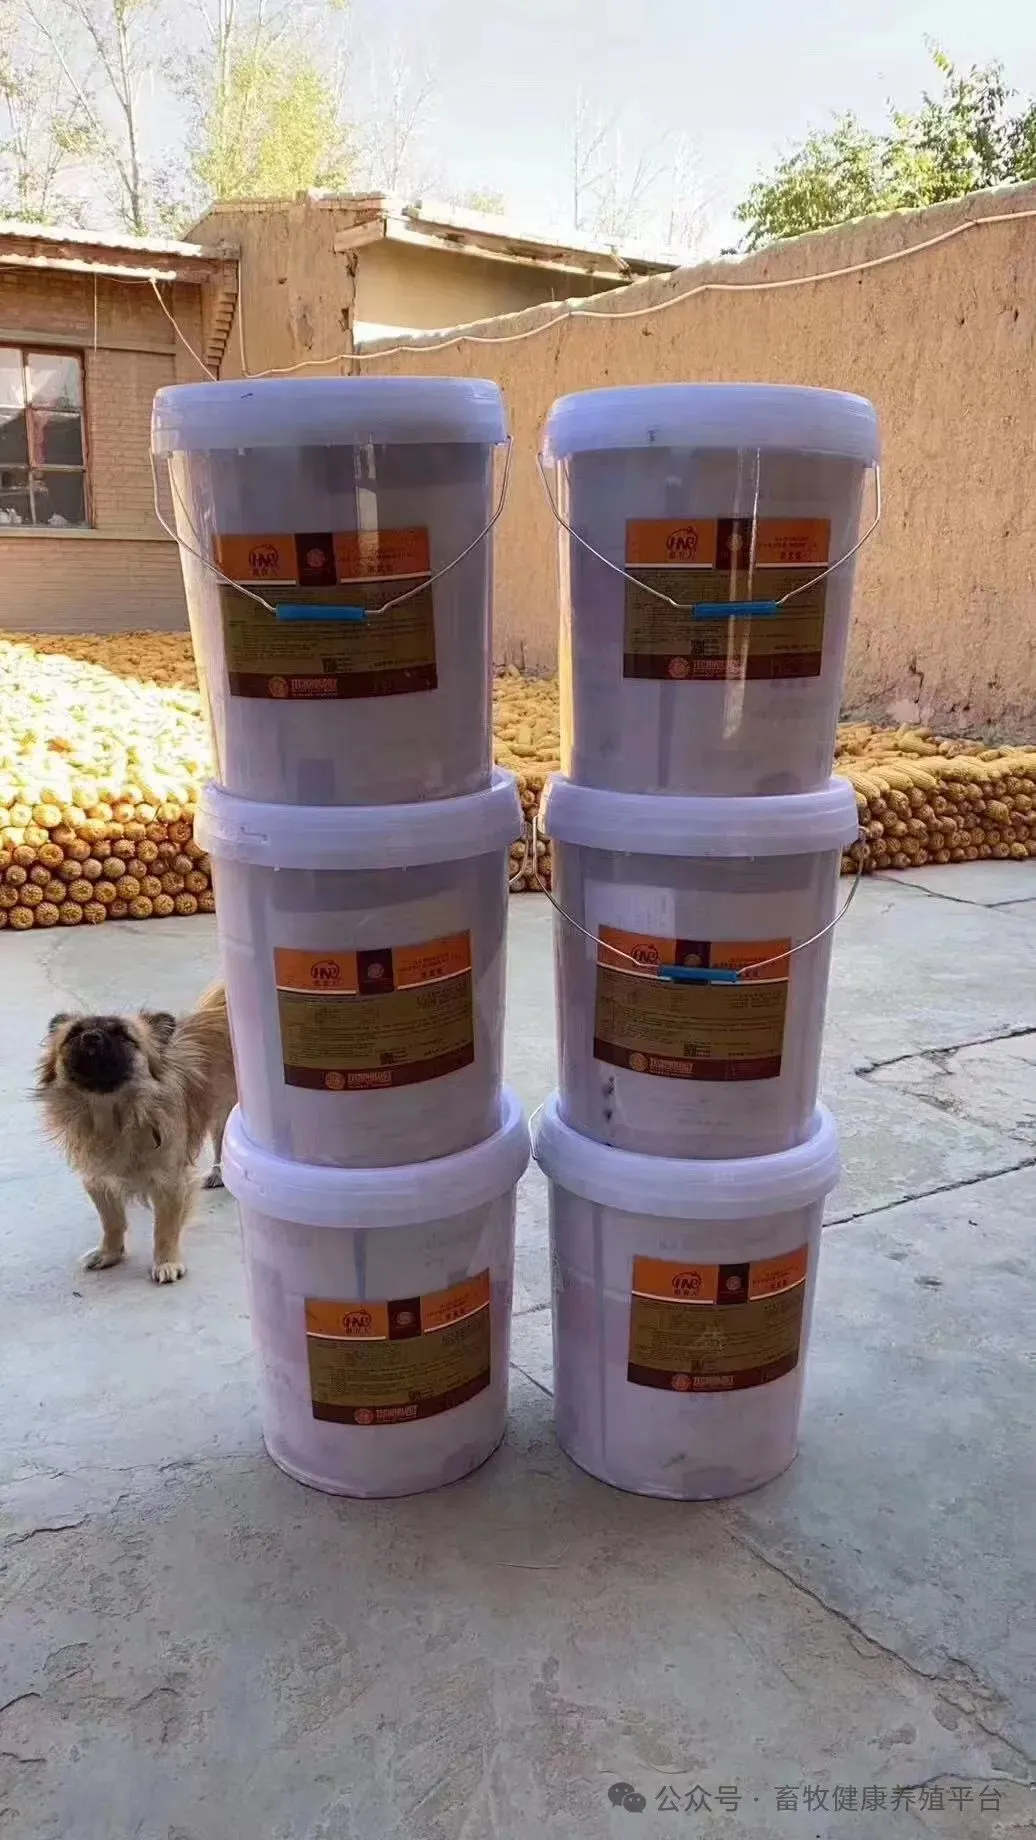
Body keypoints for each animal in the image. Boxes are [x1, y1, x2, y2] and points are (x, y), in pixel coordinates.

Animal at [36, 985, 236, 1284]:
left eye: (122, 1035)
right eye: (73, 1034)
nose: (91, 1037)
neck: (113, 1115)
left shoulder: (170, 1181)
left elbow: (165, 1228)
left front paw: (166, 1262)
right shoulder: (98, 1180)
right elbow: (111, 1221)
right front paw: (109, 1253)